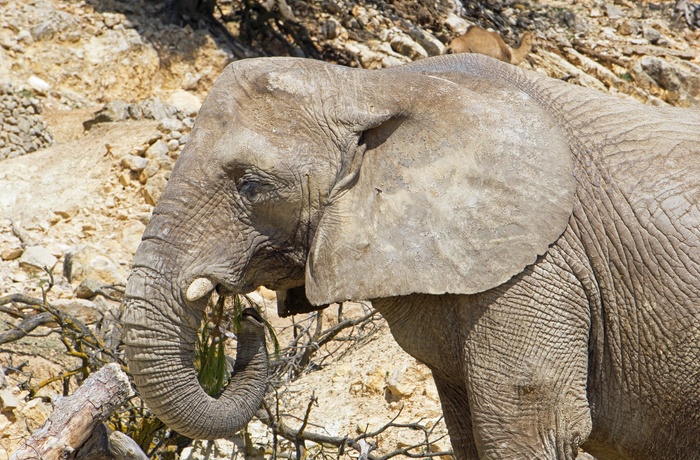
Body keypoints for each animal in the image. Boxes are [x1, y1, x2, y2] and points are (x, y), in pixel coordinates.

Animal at [123, 54, 700, 460]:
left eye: (250, 185)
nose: (248, 319)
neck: (376, 85)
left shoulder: (542, 265)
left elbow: (534, 423)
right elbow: (471, 433)